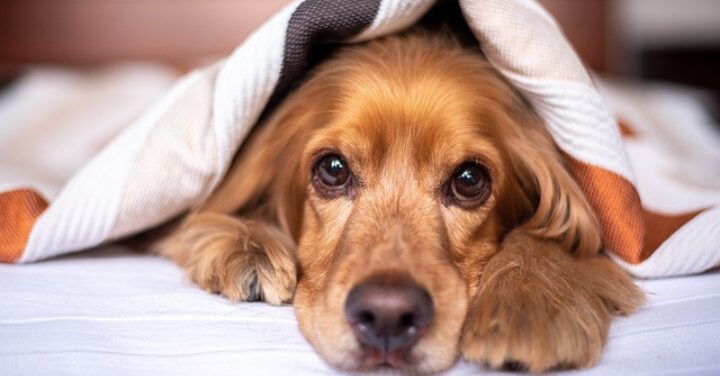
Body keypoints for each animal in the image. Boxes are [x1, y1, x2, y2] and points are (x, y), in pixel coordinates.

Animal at [156, 30, 640, 372]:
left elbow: (554, 235)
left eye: (469, 180)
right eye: (333, 169)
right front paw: (247, 246)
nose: (387, 316)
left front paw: (529, 301)